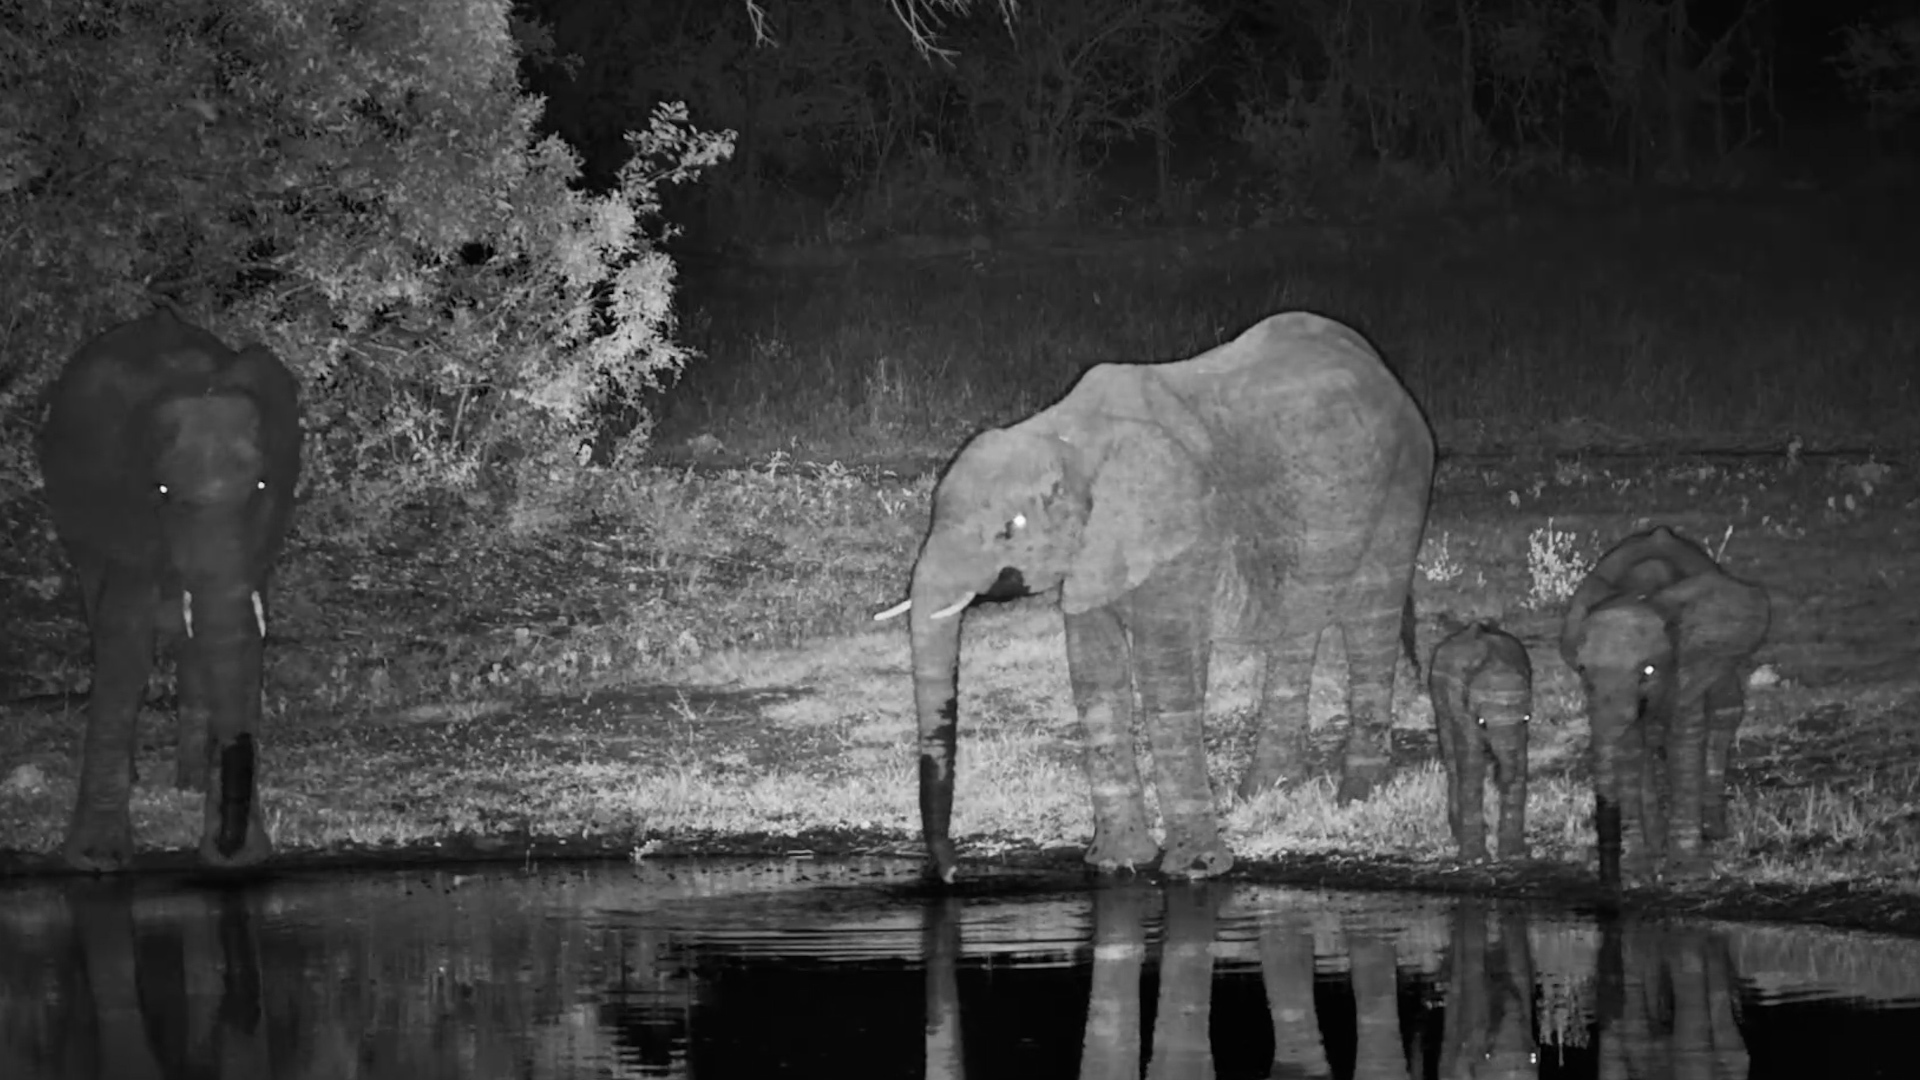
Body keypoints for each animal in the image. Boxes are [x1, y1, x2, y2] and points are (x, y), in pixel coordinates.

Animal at [38, 308, 302, 871]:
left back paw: (189, 783)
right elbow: (127, 641)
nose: (228, 846)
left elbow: (245, 640)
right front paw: (98, 859)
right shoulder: (124, 510)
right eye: (161, 490)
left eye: (262, 487)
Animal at [878, 311, 1435, 881]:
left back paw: (1357, 795)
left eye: (1009, 530)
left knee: (1371, 619)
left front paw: (1196, 870)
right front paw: (1117, 863)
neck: (1067, 432)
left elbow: (1163, 677)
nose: (954, 874)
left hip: (1405, 482)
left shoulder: (1174, 531)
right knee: (1298, 624)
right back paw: (1267, 790)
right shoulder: (1093, 553)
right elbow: (1095, 673)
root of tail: (1383, 370)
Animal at [1430, 622, 1534, 862]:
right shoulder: (1460, 707)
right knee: (1452, 760)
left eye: (1527, 718)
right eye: (1482, 722)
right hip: (1439, 700)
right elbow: (1471, 763)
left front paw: (1514, 855)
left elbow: (1521, 761)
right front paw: (1474, 858)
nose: (1498, 776)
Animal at [1560, 525, 1769, 889]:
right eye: (1583, 671)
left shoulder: (1689, 661)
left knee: (1725, 713)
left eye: (1648, 671)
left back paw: (1713, 830)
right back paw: (1657, 841)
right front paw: (1636, 874)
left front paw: (1686, 873)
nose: (1609, 877)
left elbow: (1684, 741)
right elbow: (1630, 749)